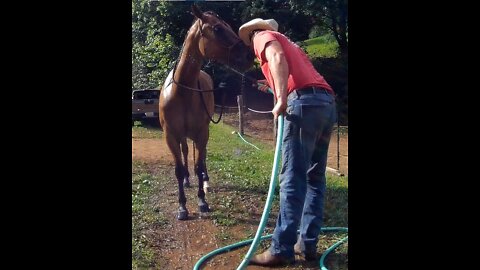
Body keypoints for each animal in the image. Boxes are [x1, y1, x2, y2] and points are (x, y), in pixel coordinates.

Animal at [159, 5, 253, 220]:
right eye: (218, 28)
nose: (248, 55)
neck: (182, 92)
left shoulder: (202, 132)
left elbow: (199, 163)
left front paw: (202, 200)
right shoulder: (171, 136)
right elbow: (179, 169)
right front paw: (182, 206)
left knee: (201, 156)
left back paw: (203, 177)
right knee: (186, 151)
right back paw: (187, 179)